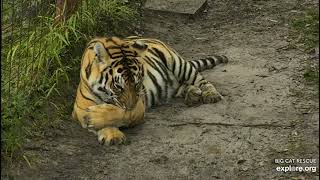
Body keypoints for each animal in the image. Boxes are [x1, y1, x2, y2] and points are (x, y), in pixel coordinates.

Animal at [72, 36, 228, 145]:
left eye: (137, 84)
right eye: (118, 87)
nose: (130, 105)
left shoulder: (138, 105)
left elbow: (120, 113)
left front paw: (97, 117)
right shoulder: (80, 108)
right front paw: (112, 134)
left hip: (179, 64)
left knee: (202, 80)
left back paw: (211, 94)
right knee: (183, 86)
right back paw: (192, 95)